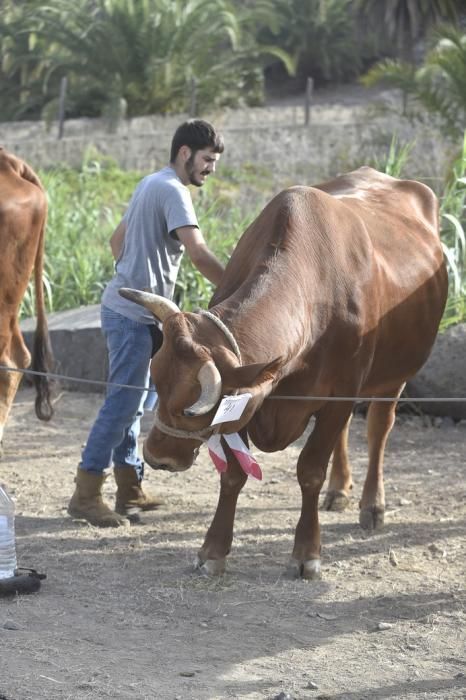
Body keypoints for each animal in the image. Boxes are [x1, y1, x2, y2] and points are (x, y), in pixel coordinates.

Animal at [120, 167, 448, 576]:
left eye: (191, 411)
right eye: (158, 387)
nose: (156, 457)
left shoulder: (341, 391)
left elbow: (310, 469)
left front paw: (307, 552)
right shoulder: (250, 399)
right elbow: (233, 473)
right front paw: (213, 550)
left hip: (393, 375)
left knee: (377, 430)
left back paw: (372, 505)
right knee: (345, 434)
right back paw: (338, 491)